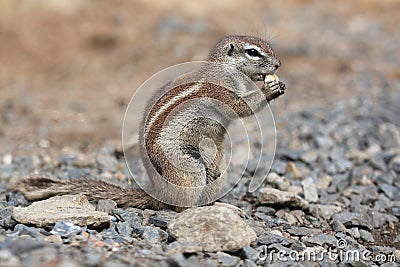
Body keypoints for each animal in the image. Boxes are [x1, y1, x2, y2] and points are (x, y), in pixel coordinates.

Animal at [9, 35, 284, 211]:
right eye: (252, 52)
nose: (278, 64)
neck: (225, 70)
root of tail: (157, 193)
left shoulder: (219, 132)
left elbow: (219, 141)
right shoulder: (222, 93)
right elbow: (242, 107)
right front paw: (270, 89)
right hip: (187, 167)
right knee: (179, 204)